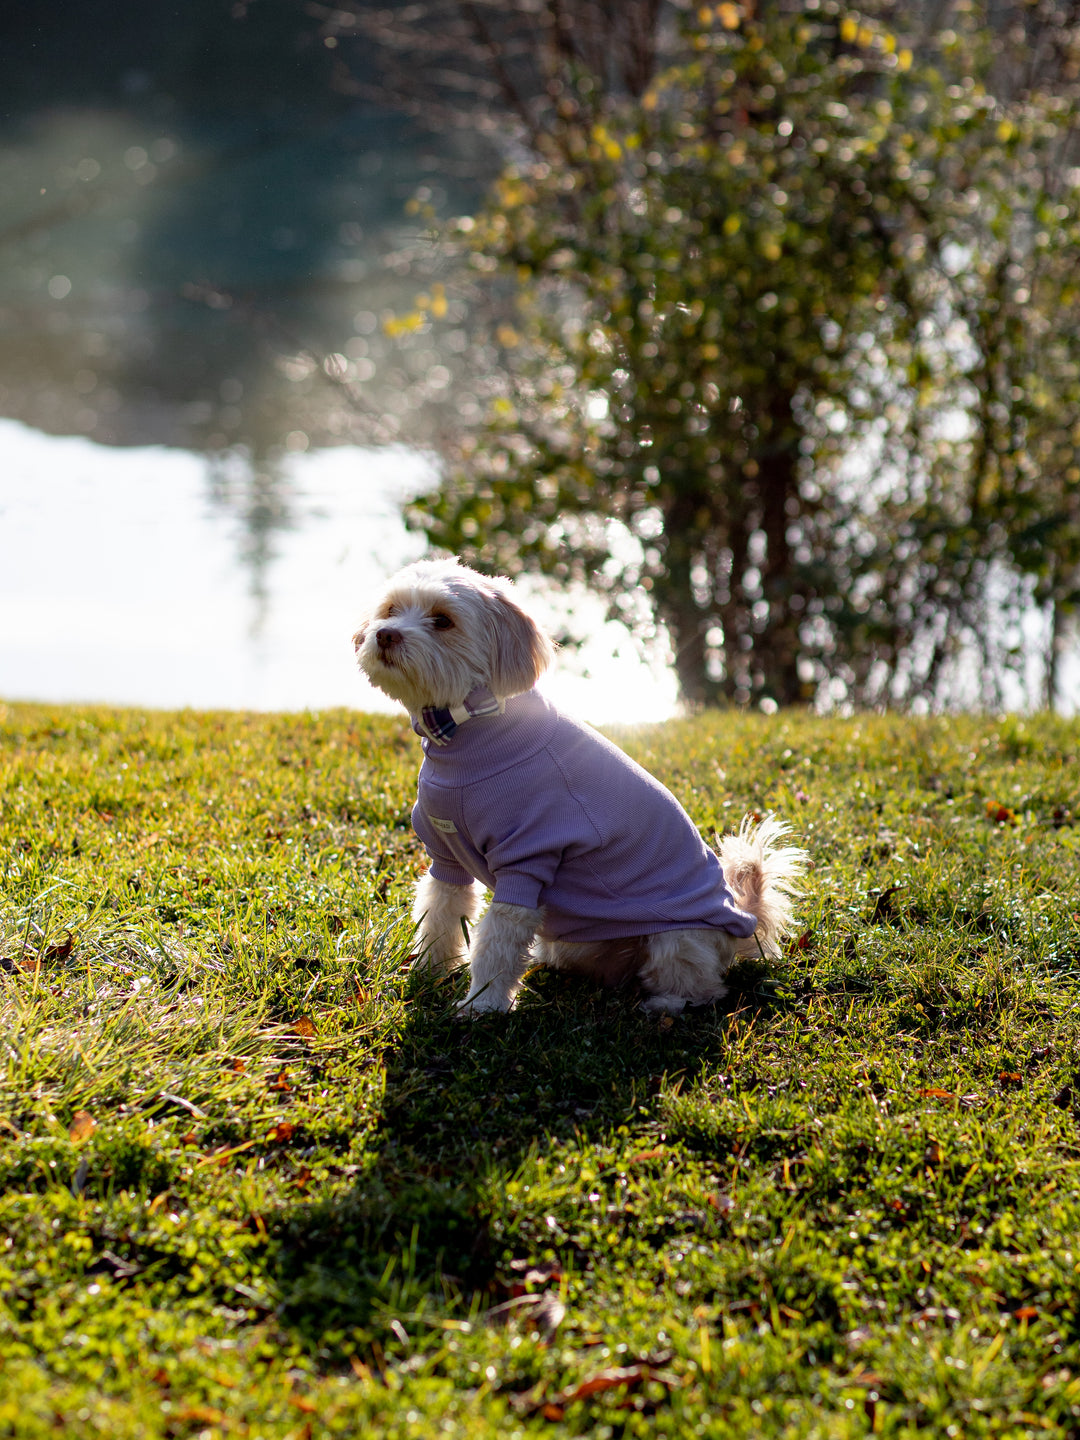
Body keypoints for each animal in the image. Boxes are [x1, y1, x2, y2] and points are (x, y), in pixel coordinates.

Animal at [360, 555, 806, 1019]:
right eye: (391, 609)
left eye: (443, 620)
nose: (385, 634)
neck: (465, 728)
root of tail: (743, 921)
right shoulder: (445, 855)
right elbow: (440, 914)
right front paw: (427, 973)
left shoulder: (527, 858)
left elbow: (498, 941)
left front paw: (482, 1006)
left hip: (675, 936)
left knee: (702, 985)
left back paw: (664, 1003)